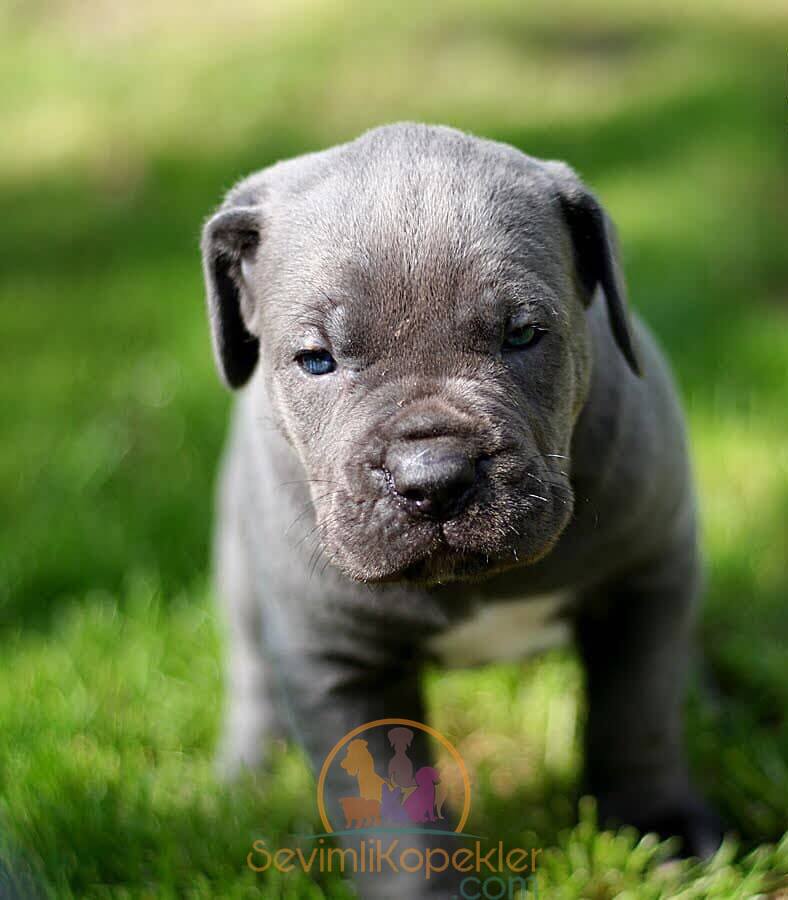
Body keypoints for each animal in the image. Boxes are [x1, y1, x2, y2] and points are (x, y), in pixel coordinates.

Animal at [202, 123, 720, 896]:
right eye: (316, 359)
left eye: (524, 334)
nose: (434, 479)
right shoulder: (338, 661)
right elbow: (392, 816)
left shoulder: (647, 579)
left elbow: (638, 716)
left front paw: (658, 829)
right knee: (251, 669)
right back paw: (246, 771)